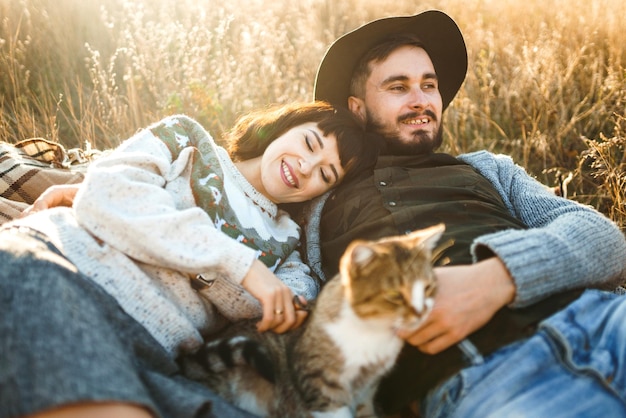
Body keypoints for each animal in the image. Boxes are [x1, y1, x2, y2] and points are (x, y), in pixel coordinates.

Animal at [180, 224, 444, 416]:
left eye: (428, 288)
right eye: (395, 295)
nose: (421, 312)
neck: (372, 335)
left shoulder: (367, 390)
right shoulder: (321, 386)